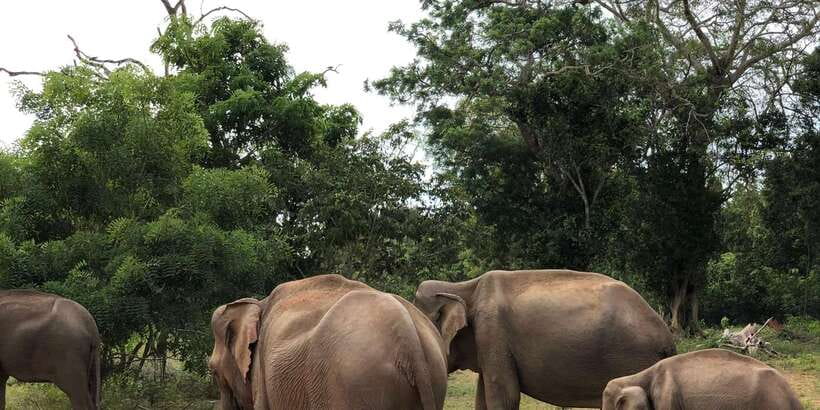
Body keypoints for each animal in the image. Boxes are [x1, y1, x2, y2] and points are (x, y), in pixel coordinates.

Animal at [414, 269, 676, 409]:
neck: (463, 286)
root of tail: (667, 339)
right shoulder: (488, 343)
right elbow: (484, 398)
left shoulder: (492, 330)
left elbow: (505, 397)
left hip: (631, 357)